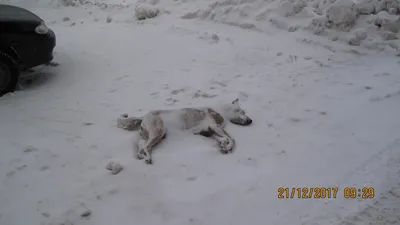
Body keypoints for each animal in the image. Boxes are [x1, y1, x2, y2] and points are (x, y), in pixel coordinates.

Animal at [116, 98, 253, 163]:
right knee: (145, 146)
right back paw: (148, 158)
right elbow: (232, 139)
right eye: (241, 111)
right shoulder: (213, 126)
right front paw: (227, 146)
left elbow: (223, 139)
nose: (250, 120)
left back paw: (142, 156)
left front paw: (223, 145)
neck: (221, 111)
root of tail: (143, 117)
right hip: (158, 131)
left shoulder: (208, 132)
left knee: (141, 144)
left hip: (153, 134)